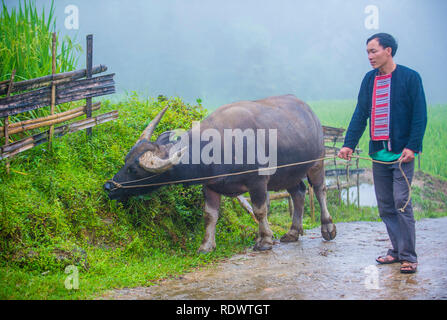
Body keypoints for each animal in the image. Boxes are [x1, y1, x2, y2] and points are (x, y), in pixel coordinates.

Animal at [105, 95, 336, 252]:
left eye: (134, 169)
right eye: (125, 161)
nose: (108, 186)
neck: (219, 146)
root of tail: (311, 114)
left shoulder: (258, 182)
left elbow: (260, 211)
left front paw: (264, 241)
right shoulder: (210, 186)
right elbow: (210, 215)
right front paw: (206, 245)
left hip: (317, 162)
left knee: (319, 190)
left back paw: (327, 228)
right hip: (288, 173)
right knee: (298, 193)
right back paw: (293, 232)